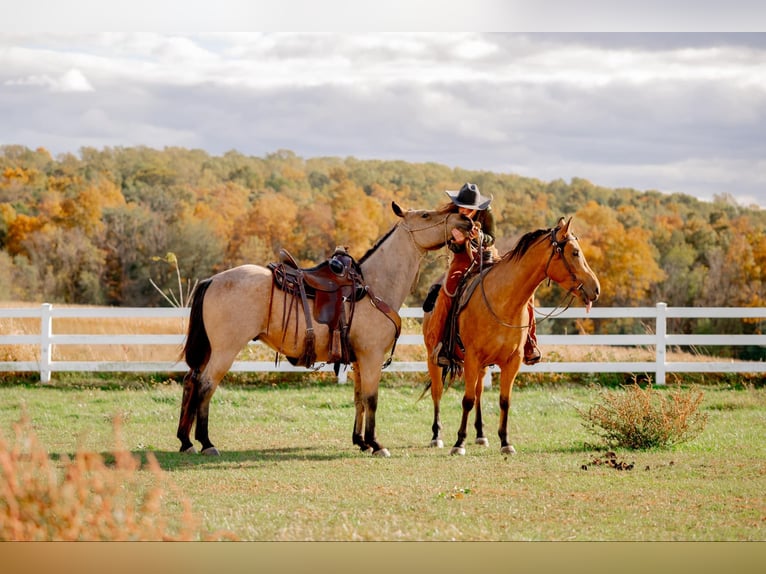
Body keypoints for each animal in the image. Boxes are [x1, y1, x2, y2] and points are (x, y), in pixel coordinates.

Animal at [178, 202, 474, 460]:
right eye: (426, 215)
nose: (466, 220)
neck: (373, 286)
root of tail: (212, 280)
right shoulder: (371, 357)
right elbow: (372, 399)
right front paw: (376, 444)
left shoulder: (358, 360)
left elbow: (359, 399)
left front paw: (361, 442)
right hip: (224, 351)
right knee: (205, 385)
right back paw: (206, 442)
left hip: (210, 351)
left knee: (191, 381)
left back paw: (186, 441)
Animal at [424, 218, 604, 456]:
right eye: (575, 252)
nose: (596, 289)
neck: (502, 301)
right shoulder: (472, 357)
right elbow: (467, 400)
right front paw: (459, 443)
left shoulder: (512, 361)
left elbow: (504, 401)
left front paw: (505, 442)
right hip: (434, 359)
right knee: (437, 392)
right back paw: (436, 436)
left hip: (482, 367)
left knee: (479, 392)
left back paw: (480, 434)